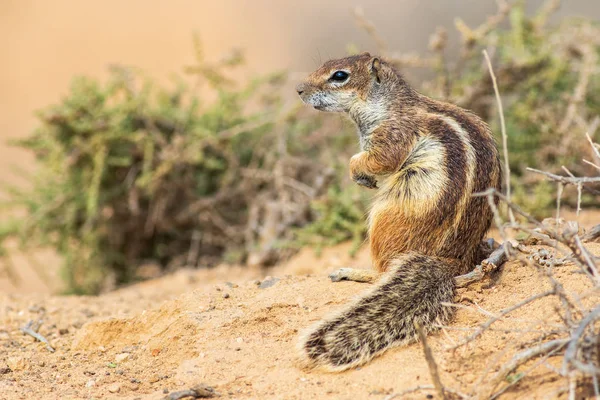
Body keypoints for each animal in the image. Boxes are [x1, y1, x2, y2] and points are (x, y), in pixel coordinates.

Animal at [296, 53, 502, 372]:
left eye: (339, 76)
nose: (299, 90)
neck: (387, 104)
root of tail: (448, 261)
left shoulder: (392, 136)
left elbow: (378, 159)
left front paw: (358, 172)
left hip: (385, 218)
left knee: (383, 270)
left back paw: (353, 273)